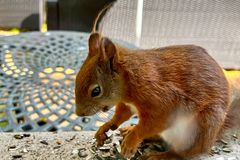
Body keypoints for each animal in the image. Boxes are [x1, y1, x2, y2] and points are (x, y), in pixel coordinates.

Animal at [74, 32, 238, 159]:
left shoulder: (163, 100)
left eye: (96, 91)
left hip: (199, 129)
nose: (79, 113)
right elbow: (121, 115)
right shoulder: (127, 104)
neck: (129, 83)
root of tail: (213, 135)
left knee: (185, 153)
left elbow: (153, 123)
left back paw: (162, 155)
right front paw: (106, 126)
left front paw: (132, 139)